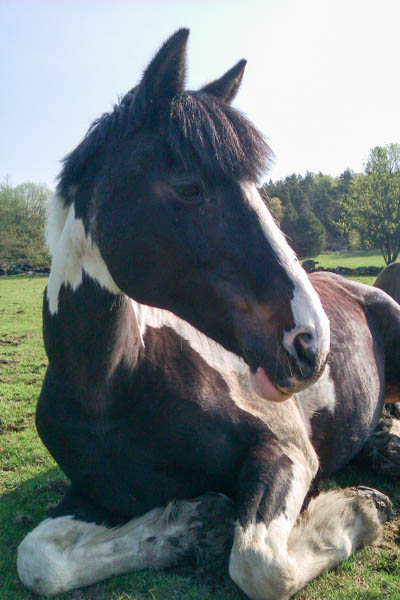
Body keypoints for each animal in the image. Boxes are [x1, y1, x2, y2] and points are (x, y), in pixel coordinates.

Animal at [17, 30, 400, 600]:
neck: (111, 384)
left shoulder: (286, 452)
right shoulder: (90, 496)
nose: (311, 342)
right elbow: (39, 560)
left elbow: (260, 562)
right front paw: (189, 524)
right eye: (189, 187)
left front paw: (360, 508)